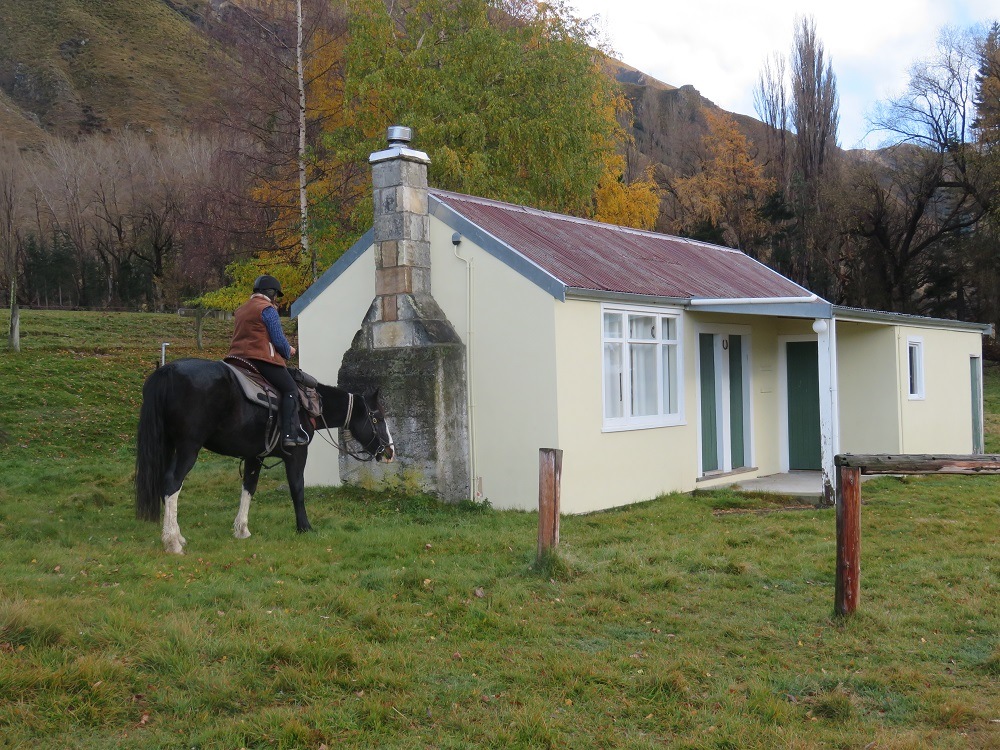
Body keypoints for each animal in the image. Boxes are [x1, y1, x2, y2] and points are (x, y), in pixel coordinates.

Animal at [135, 358, 392, 552]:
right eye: (377, 418)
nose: (390, 452)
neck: (307, 406)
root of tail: (168, 370)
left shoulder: (254, 456)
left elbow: (249, 488)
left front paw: (242, 529)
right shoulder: (297, 454)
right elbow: (297, 488)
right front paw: (304, 527)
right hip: (188, 448)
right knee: (172, 483)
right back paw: (172, 541)